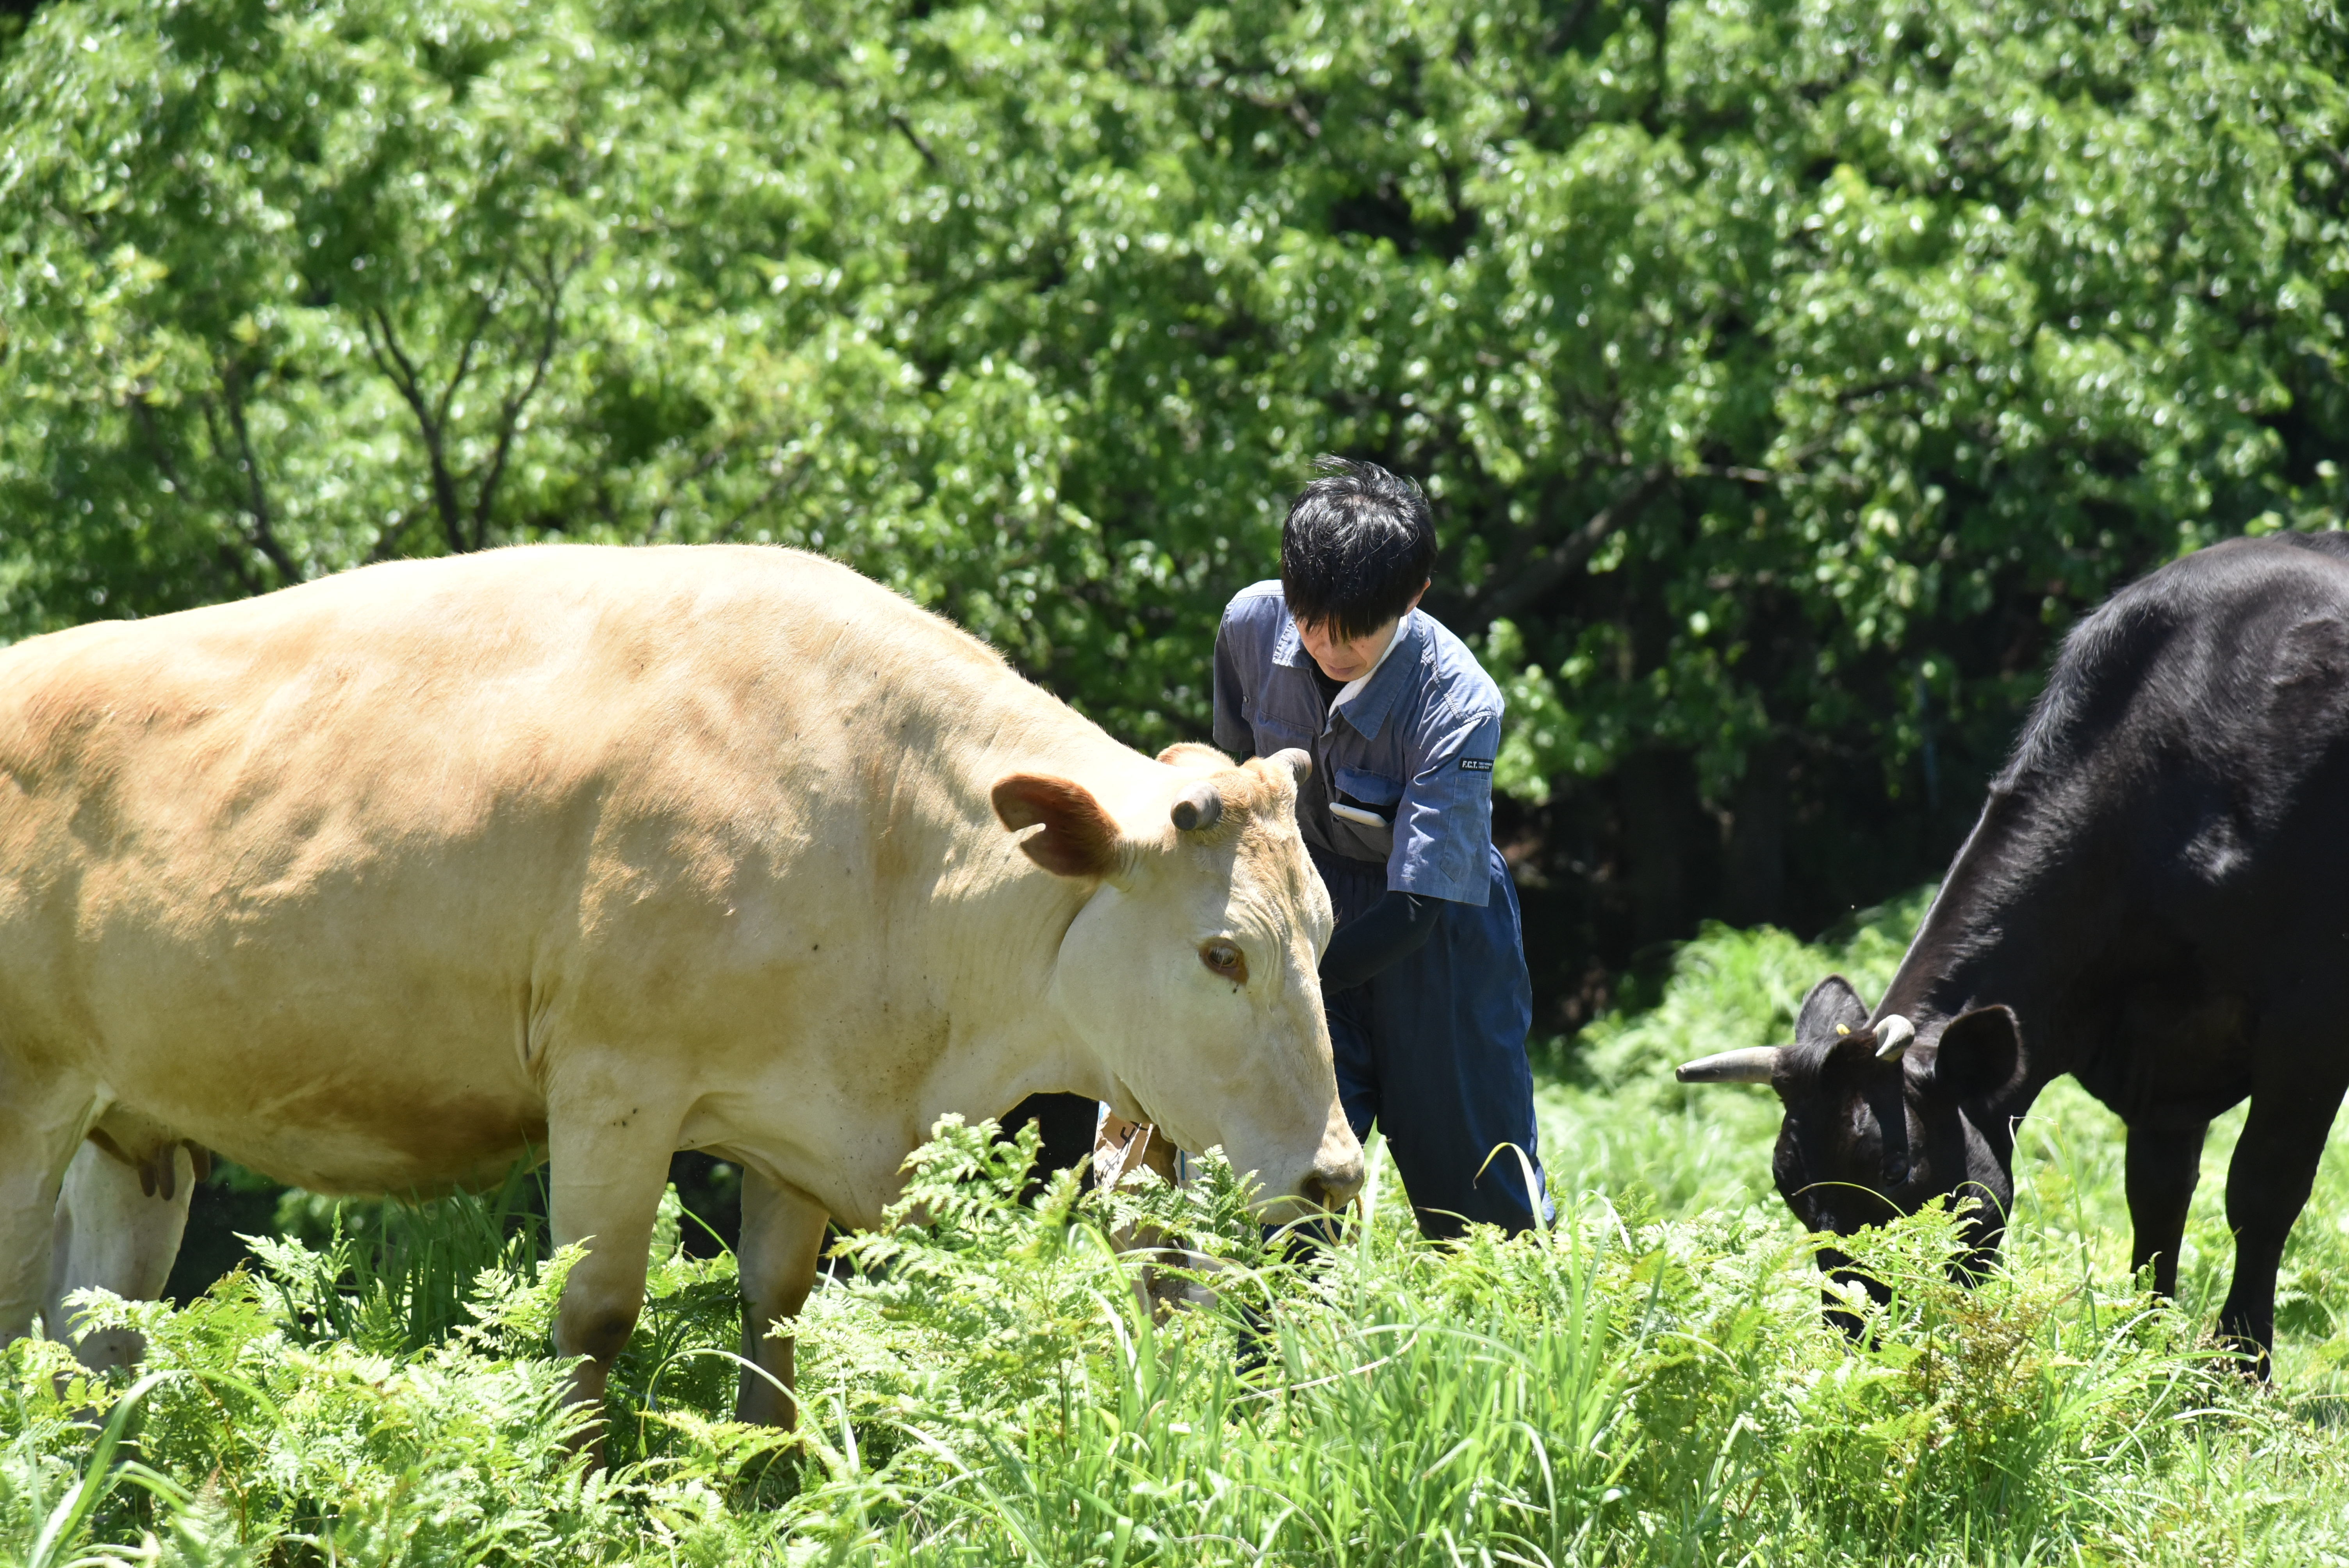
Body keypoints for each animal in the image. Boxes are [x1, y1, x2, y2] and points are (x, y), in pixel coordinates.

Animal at [0, 543, 1364, 1427]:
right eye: (1222, 953)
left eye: (1324, 935)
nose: (1339, 1176)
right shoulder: (615, 1085)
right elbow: (597, 1313)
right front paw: (576, 1485)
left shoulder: (795, 1117)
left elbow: (779, 1310)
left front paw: (774, 1483)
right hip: (27, 1103)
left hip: (130, 1127)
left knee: (96, 1334)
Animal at [1676, 532, 2349, 1371]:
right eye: (1788, 1187)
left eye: (1895, 1173)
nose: (1857, 1341)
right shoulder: (2165, 1057)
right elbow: (2157, 1197)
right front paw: (2144, 1350)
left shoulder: (2310, 1021)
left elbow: (2261, 1189)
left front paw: (2235, 1368)